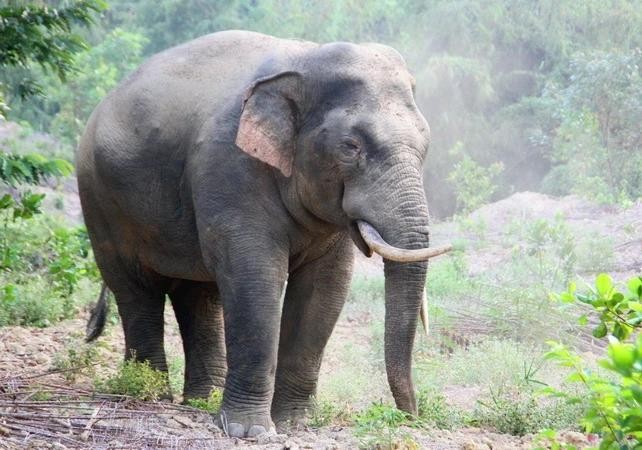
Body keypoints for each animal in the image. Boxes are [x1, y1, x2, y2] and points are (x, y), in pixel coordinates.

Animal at [79, 29, 450, 438]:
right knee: (136, 290)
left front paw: (295, 424)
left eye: (425, 144)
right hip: (99, 201)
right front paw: (249, 431)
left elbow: (326, 287)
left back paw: (202, 400)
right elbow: (254, 278)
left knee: (197, 294)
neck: (305, 60)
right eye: (351, 147)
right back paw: (149, 394)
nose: (410, 414)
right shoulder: (230, 166)